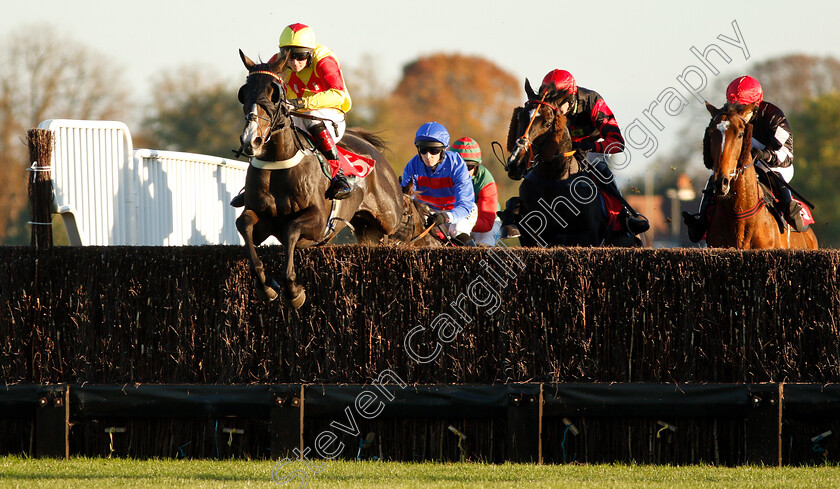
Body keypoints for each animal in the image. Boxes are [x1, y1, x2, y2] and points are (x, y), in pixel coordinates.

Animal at [235, 51, 426, 306]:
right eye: (244, 92)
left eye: (274, 93)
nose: (251, 141)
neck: (277, 163)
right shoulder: (261, 219)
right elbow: (244, 225)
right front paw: (266, 286)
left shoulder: (317, 221)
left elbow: (291, 230)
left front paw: (293, 290)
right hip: (366, 230)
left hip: (388, 216)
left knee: (400, 219)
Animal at [506, 80, 636, 248]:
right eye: (519, 118)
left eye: (547, 123)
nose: (515, 163)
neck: (553, 178)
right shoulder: (531, 235)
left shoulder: (588, 236)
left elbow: (616, 139)